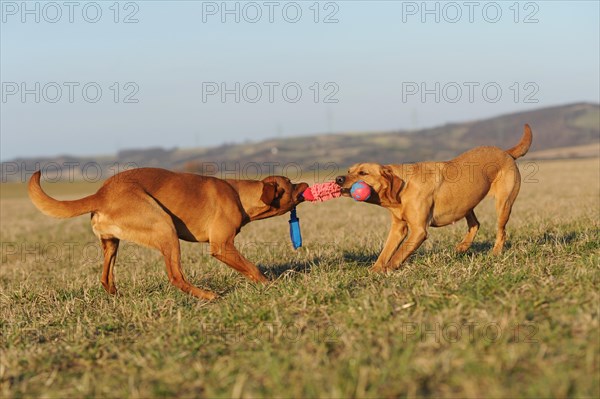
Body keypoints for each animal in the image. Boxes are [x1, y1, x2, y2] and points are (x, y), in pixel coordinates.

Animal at [28, 169, 308, 300]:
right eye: (291, 184)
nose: (305, 184)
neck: (239, 195)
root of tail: (100, 194)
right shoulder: (222, 245)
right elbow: (251, 267)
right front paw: (269, 284)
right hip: (165, 227)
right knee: (176, 276)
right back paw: (207, 296)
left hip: (112, 244)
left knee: (106, 278)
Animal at [336, 124, 532, 272]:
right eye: (349, 171)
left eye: (363, 173)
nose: (338, 179)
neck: (402, 189)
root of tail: (506, 152)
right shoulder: (398, 228)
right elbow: (386, 251)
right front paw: (376, 270)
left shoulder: (418, 230)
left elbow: (399, 253)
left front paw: (388, 269)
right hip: (465, 202)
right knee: (475, 224)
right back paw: (463, 246)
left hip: (503, 204)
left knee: (501, 231)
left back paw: (496, 252)